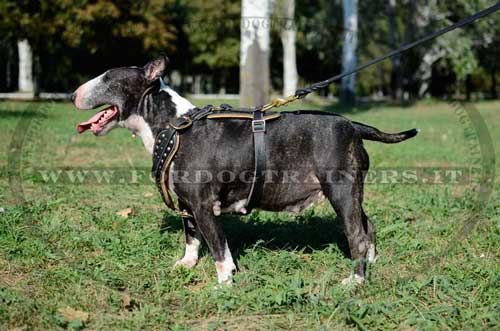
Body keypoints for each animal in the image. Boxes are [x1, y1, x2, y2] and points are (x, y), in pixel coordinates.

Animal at [72, 57, 416, 286]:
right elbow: (191, 235)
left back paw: (355, 280)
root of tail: (353, 125)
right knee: (367, 226)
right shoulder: (186, 203)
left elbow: (218, 248)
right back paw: (370, 263)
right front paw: (186, 264)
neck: (173, 126)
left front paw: (224, 284)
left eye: (107, 79)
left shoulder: (203, 205)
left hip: (341, 192)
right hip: (352, 194)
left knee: (356, 234)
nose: (73, 94)